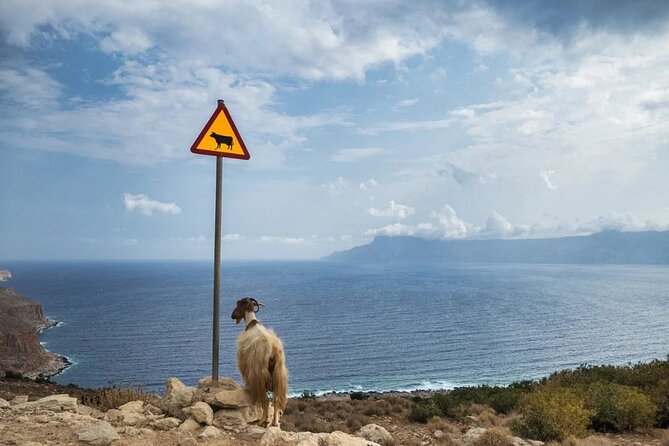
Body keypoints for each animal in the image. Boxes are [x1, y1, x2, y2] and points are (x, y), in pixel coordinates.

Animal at [230, 296, 288, 426]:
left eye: (238, 304)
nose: (232, 315)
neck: (252, 323)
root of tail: (272, 351)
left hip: (260, 374)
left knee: (264, 398)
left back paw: (263, 420)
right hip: (278, 374)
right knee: (275, 399)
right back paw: (275, 422)